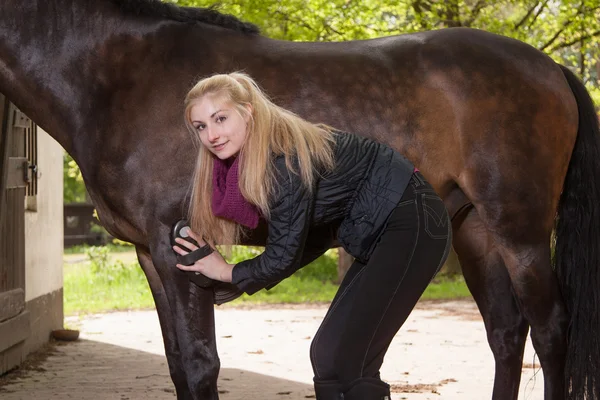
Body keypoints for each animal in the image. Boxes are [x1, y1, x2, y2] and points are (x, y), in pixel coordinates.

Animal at [1, 0, 600, 400]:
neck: (118, 77)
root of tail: (552, 68)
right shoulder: (153, 255)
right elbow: (177, 365)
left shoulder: (181, 249)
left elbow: (199, 364)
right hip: (475, 232)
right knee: (506, 333)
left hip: (520, 233)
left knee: (551, 331)